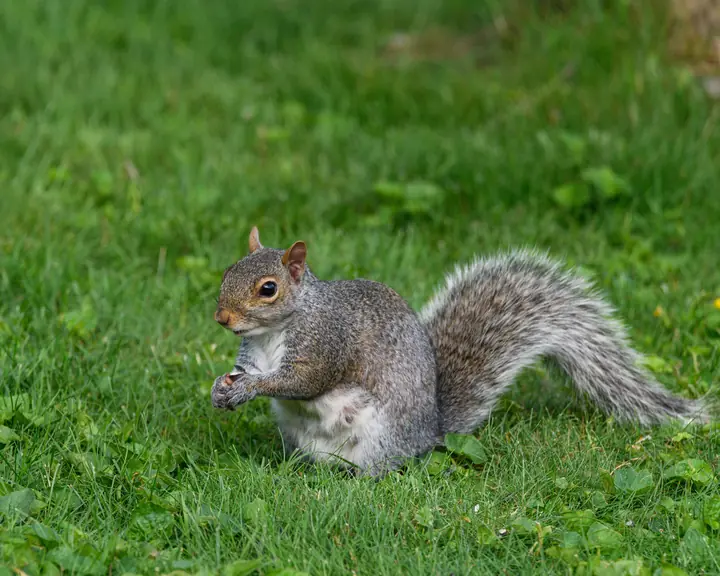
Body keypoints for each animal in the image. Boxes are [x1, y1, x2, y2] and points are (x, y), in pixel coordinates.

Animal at [210, 227, 711, 475]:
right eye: (228, 270)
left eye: (268, 289)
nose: (222, 319)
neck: (274, 332)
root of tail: (430, 432)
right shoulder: (252, 353)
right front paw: (221, 387)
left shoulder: (326, 341)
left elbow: (304, 380)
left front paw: (250, 389)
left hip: (380, 439)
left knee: (378, 472)